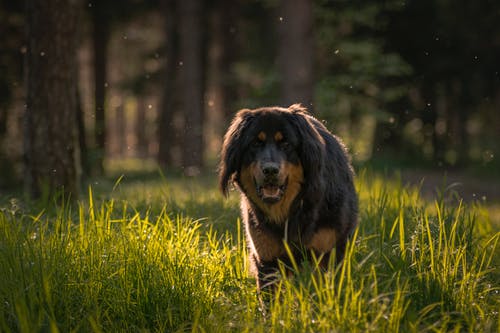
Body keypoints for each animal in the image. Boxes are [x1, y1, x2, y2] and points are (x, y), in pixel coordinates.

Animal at [221, 105, 358, 290]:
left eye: (286, 143)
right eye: (255, 143)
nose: (270, 170)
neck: (291, 210)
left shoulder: (328, 253)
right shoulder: (267, 258)